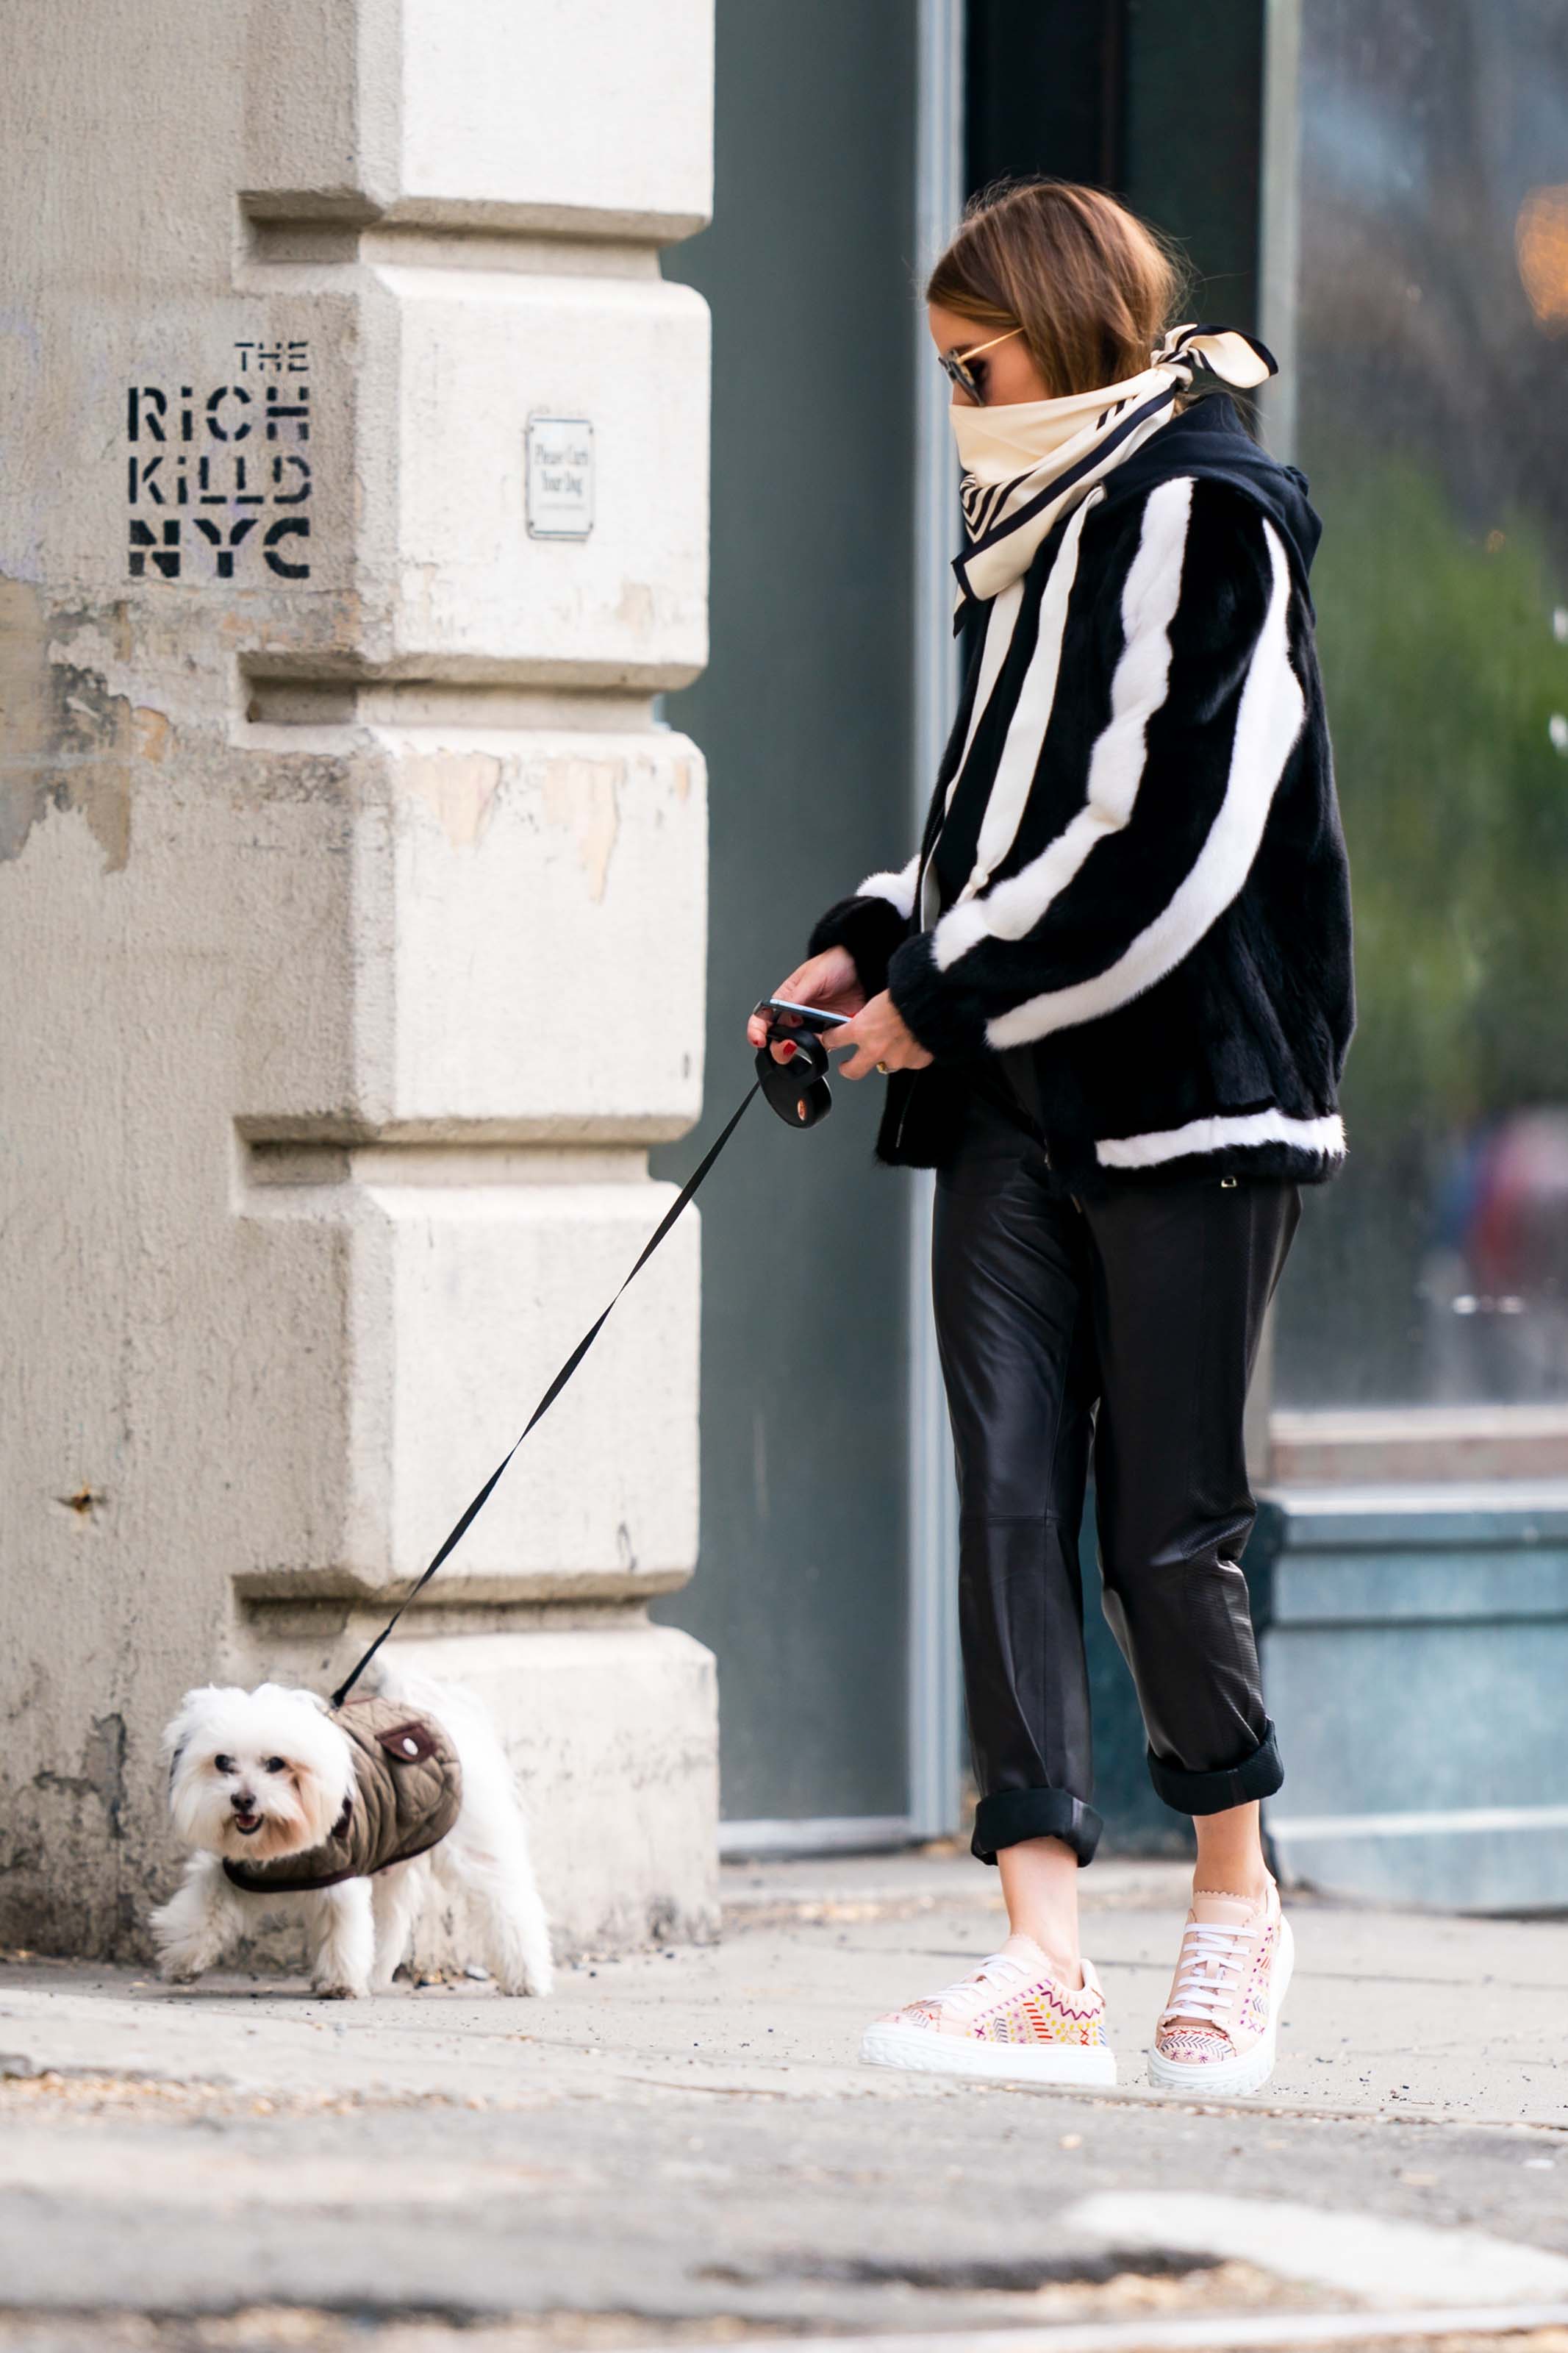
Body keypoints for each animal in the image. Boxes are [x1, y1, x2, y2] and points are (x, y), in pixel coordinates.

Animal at [148, 1665, 552, 1995]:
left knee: (508, 1905)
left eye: (276, 1763)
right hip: (393, 1852)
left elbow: (341, 1927)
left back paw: (527, 1978)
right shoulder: (234, 1870)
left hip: (472, 1847)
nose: (243, 1799)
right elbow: (205, 1907)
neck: (277, 1845)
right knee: (392, 1921)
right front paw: (183, 1959)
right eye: (222, 1762)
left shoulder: (339, 1871)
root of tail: (441, 1718)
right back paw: (374, 1975)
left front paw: (340, 1982)